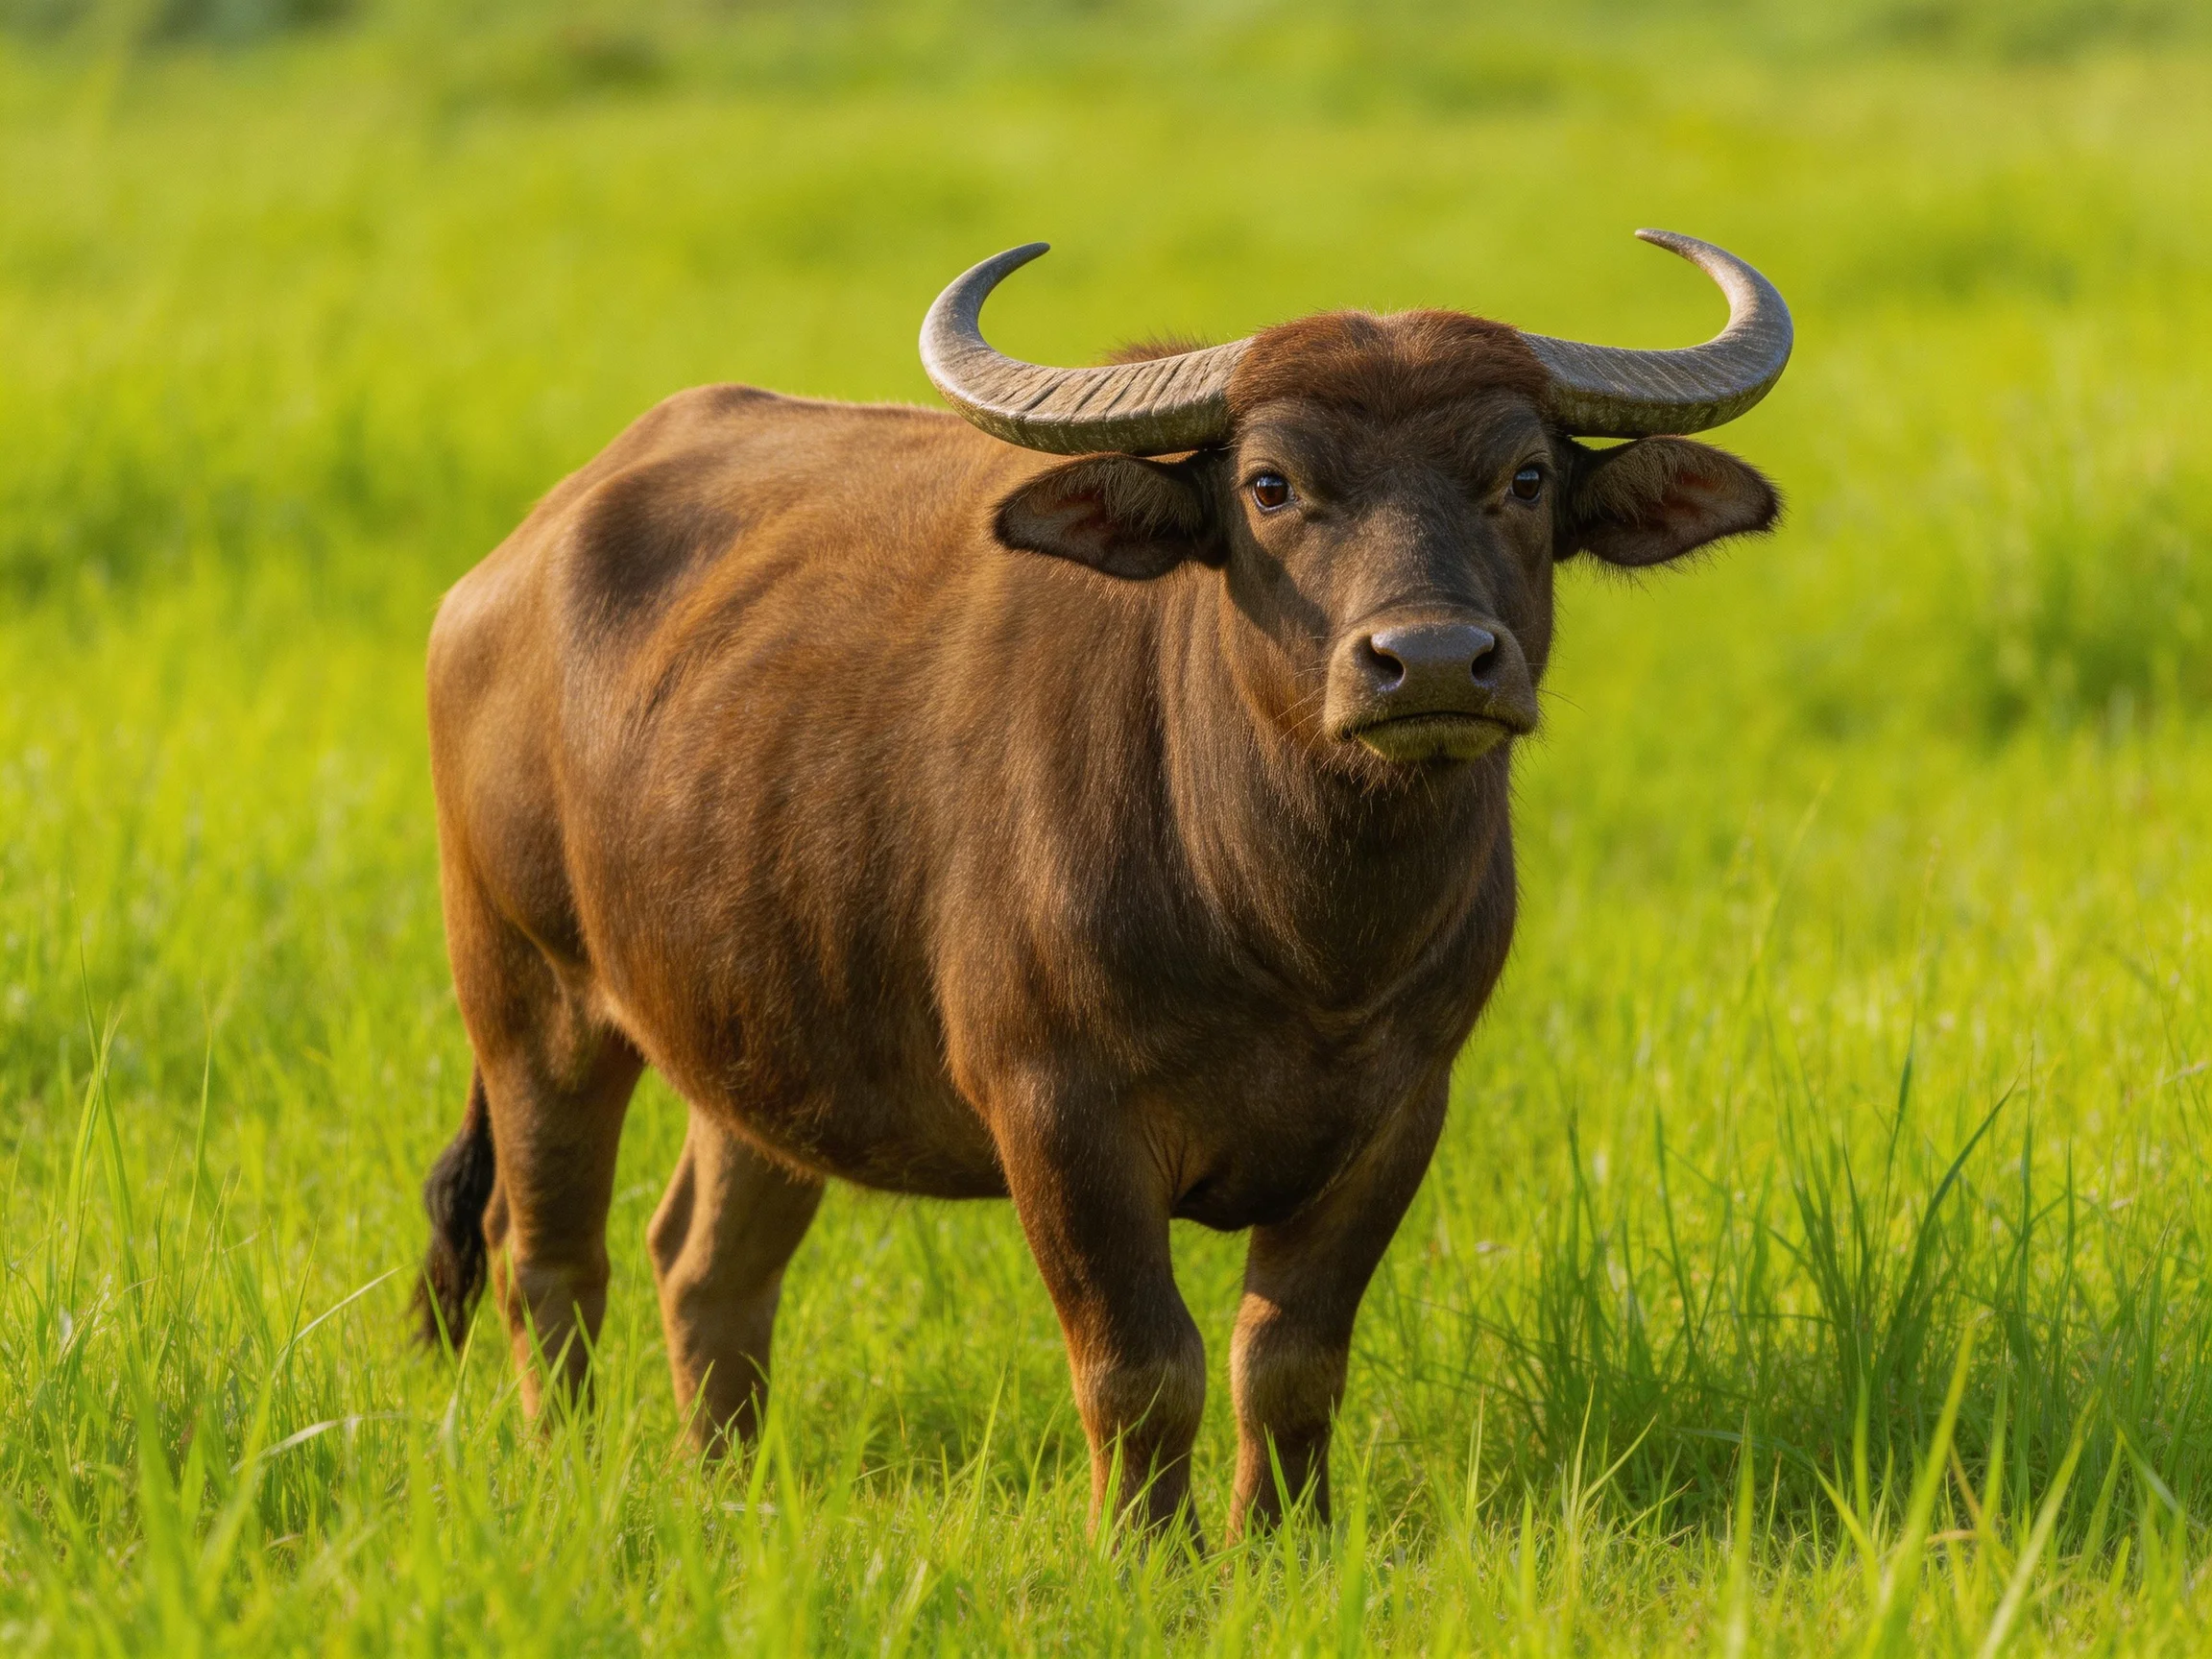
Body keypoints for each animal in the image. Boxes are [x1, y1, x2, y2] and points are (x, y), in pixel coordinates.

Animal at [415, 230, 1789, 1540]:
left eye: (1526, 477)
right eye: (1271, 485)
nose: (1436, 660)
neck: (1295, 937)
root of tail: (510, 565)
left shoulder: (1402, 1110)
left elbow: (1290, 1361)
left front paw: (1281, 1539)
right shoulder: (1057, 1111)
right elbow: (1141, 1366)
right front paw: (1145, 1549)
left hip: (754, 1033)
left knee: (704, 1267)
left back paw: (725, 1482)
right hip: (527, 991)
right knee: (542, 1254)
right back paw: (564, 1462)